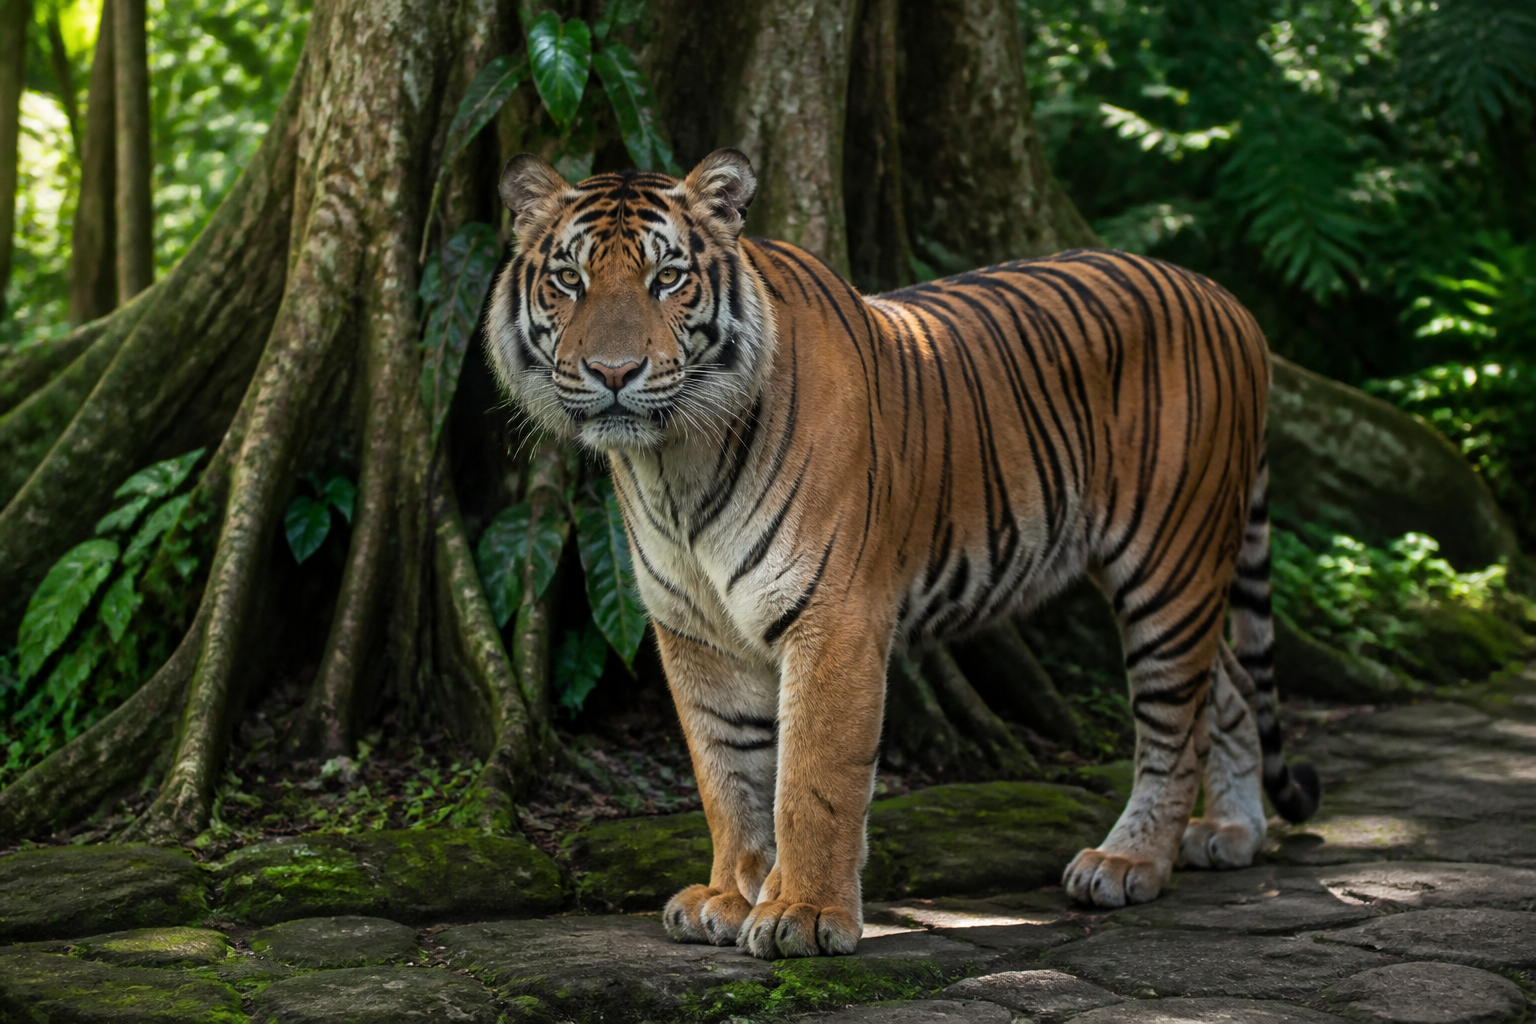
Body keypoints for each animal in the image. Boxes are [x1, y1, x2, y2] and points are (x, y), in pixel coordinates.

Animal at [485, 147, 1320, 960]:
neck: (674, 465)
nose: (613, 373)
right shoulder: (692, 629)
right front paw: (729, 895)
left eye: (667, 279)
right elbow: (727, 773)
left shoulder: (834, 616)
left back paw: (1130, 862)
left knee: (1174, 727)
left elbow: (812, 779)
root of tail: (1228, 300)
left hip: (1169, 562)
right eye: (569, 279)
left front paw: (803, 915)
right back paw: (1231, 833)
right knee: (1231, 686)